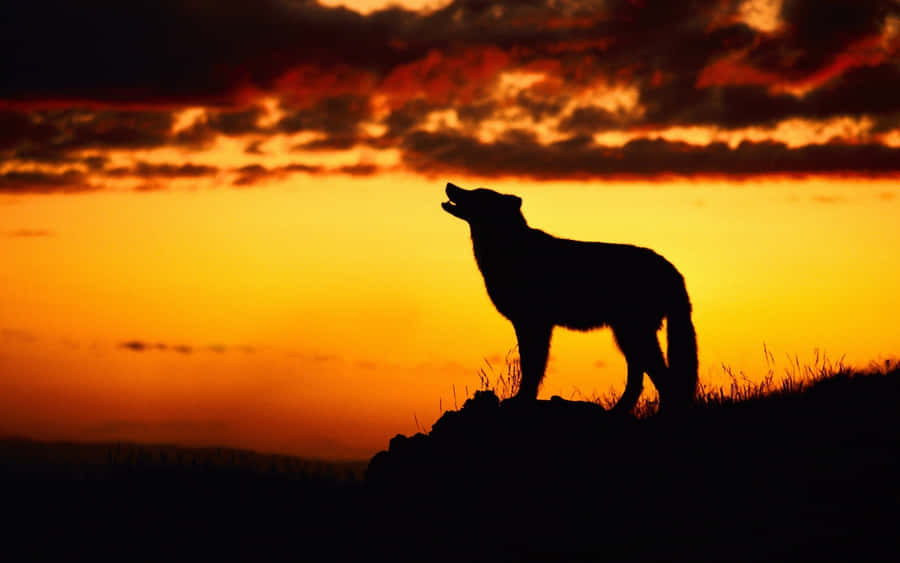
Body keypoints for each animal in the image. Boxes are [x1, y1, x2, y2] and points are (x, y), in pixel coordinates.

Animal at [442, 182, 698, 412]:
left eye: (477, 194)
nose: (449, 184)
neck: (509, 249)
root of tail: (674, 271)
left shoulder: (533, 323)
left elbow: (532, 366)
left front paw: (521, 400)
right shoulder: (531, 324)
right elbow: (531, 365)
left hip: (634, 334)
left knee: (663, 378)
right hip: (627, 336)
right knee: (642, 378)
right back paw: (618, 411)